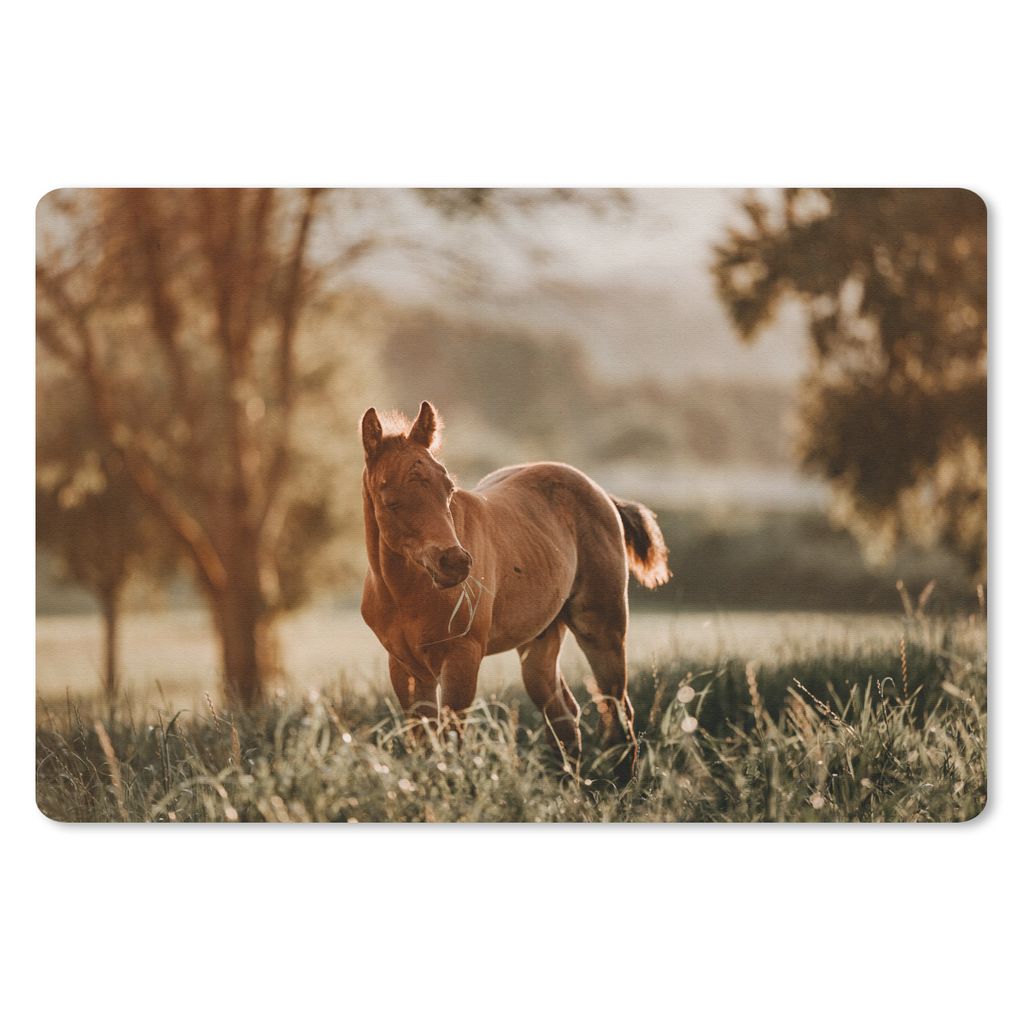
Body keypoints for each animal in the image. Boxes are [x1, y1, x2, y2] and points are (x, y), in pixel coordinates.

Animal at [359, 400, 670, 774]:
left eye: (448, 489)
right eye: (389, 499)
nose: (455, 563)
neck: (406, 594)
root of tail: (602, 495)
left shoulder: (462, 657)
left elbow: (451, 741)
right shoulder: (404, 666)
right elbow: (424, 744)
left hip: (602, 630)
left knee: (617, 712)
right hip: (540, 640)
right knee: (563, 716)